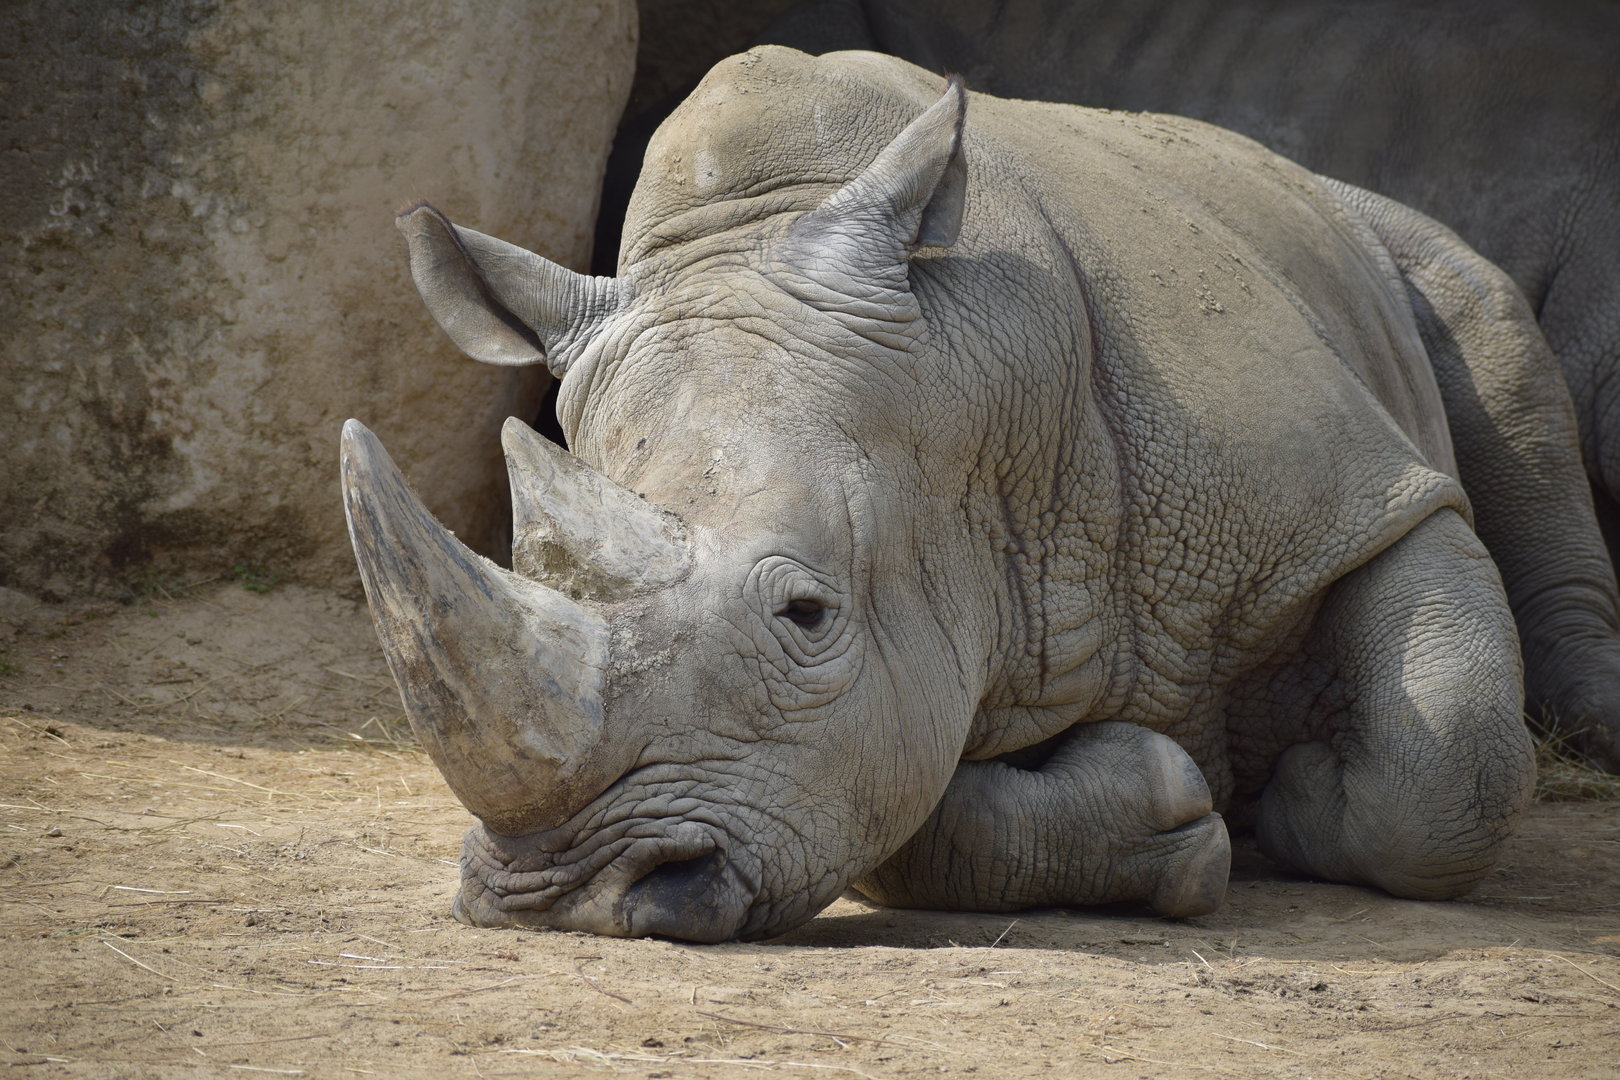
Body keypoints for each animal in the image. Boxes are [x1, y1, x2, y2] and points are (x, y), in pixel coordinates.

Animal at [341, 48, 1555, 942]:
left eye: (807, 615)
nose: (565, 897)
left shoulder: (1355, 494)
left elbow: (1453, 756)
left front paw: (1297, 789)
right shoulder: (884, 692)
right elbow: (899, 798)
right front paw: (1175, 813)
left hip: (1385, 252)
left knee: (1488, 320)